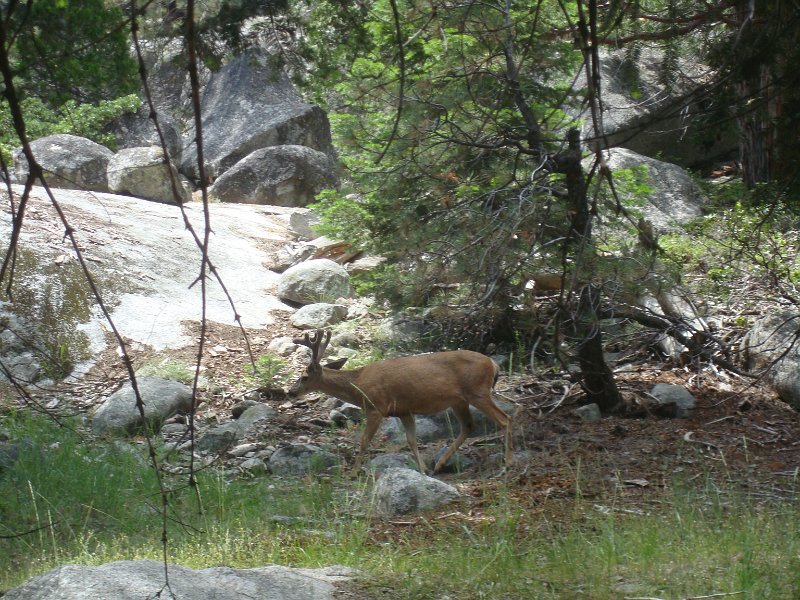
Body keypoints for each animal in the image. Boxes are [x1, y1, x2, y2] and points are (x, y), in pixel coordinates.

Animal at [288, 328, 512, 474]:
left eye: (304, 377)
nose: (291, 392)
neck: (358, 386)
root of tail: (493, 364)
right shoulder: (404, 411)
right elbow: (412, 440)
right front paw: (422, 469)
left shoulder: (376, 407)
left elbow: (364, 441)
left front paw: (353, 473)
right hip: (459, 400)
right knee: (468, 426)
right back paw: (440, 464)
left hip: (478, 391)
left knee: (505, 420)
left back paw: (508, 462)